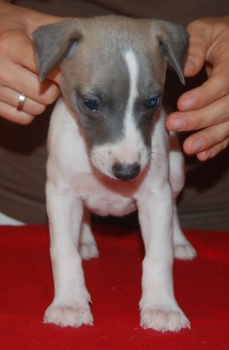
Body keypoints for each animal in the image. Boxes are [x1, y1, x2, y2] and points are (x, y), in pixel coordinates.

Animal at [32, 15, 197, 334]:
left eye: (153, 102)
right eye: (91, 103)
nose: (128, 171)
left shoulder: (155, 196)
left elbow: (158, 256)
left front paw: (161, 306)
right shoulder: (60, 195)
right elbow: (64, 252)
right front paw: (69, 302)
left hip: (176, 170)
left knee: (174, 204)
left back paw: (180, 241)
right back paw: (85, 241)